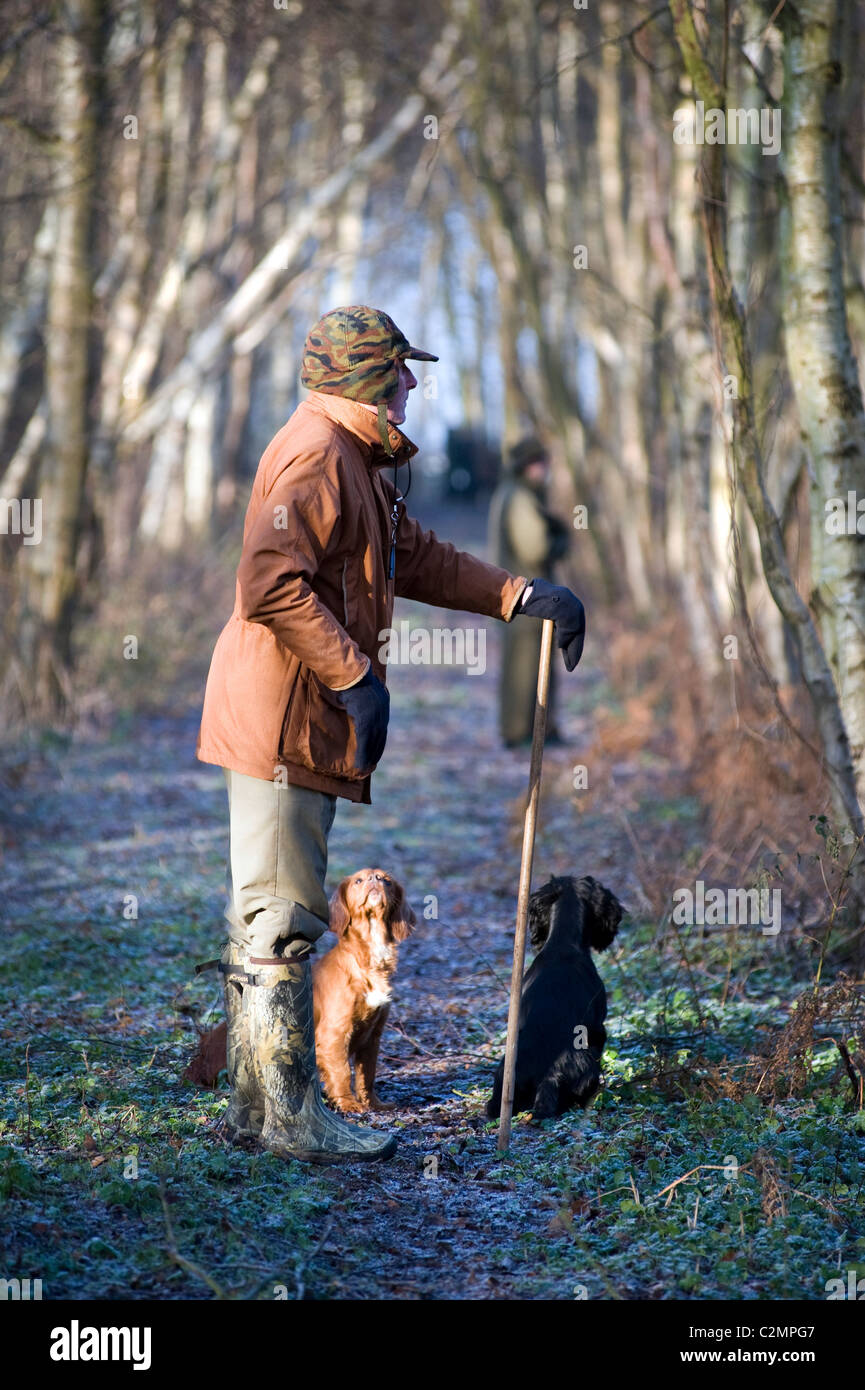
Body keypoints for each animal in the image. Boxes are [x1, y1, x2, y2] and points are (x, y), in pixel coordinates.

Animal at [315, 861, 417, 1112]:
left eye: (386, 880)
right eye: (358, 881)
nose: (374, 879)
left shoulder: (373, 1035)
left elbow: (367, 1074)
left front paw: (373, 1103)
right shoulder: (334, 1032)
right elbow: (342, 1072)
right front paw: (349, 1104)